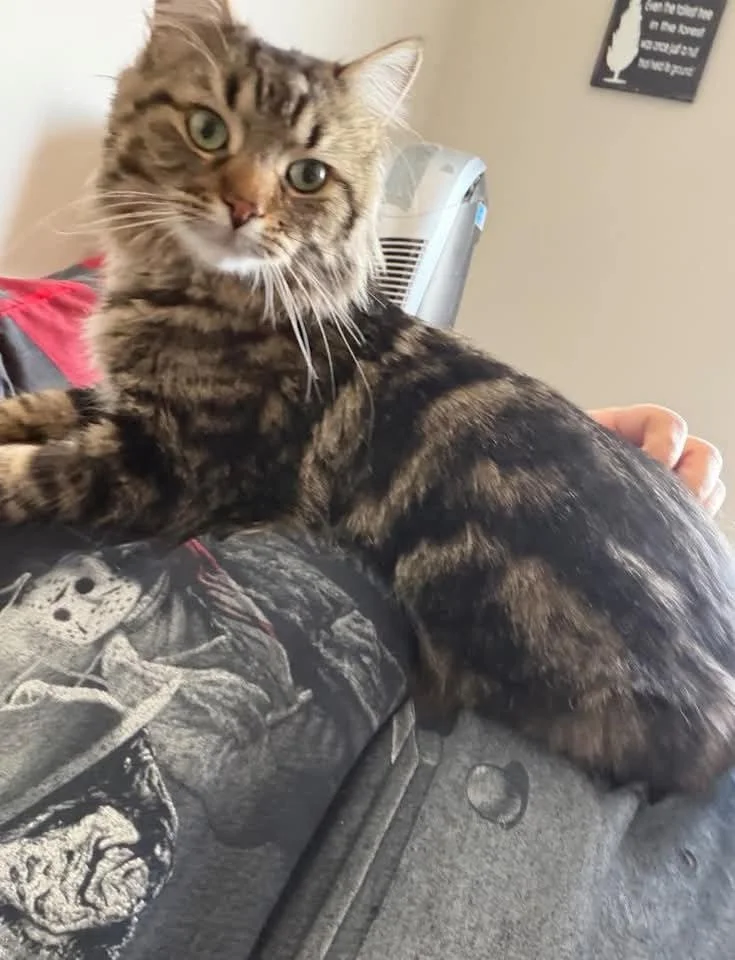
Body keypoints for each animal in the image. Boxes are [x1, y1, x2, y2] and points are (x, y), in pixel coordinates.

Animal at [0, 0, 733, 796]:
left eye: (306, 175)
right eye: (207, 129)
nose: (241, 207)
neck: (189, 289)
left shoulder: (177, 464)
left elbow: (36, 470)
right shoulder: (119, 404)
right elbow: (36, 411)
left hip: (453, 566)